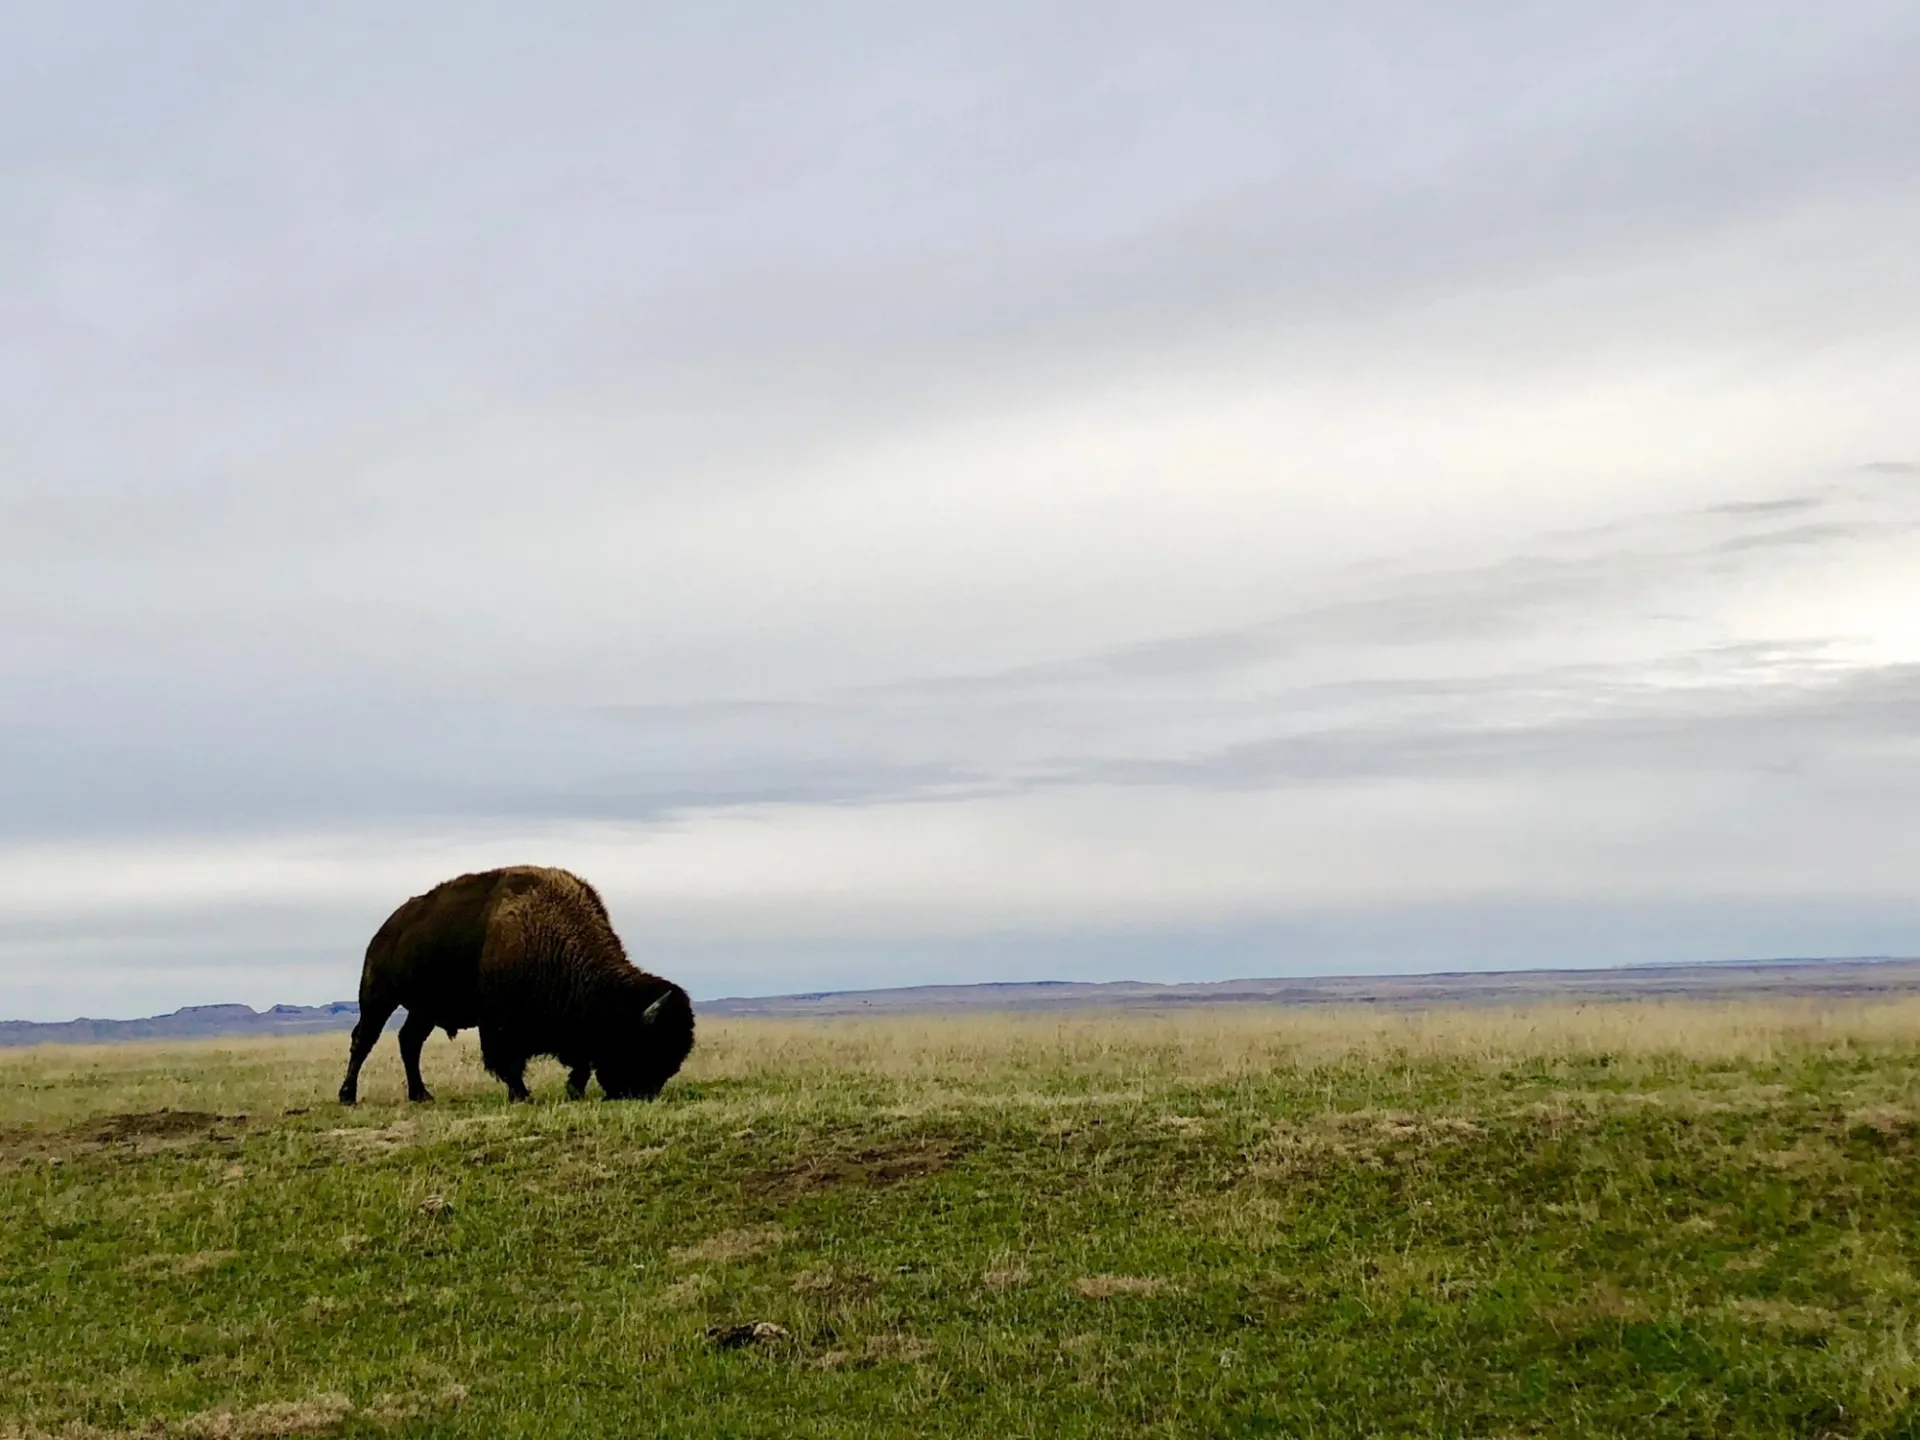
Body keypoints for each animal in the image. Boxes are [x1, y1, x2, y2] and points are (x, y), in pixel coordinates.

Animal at [337, 866, 694, 1104]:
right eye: (645, 1044)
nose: (642, 1094)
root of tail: (386, 929)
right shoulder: (500, 1024)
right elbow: (508, 1060)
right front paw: (522, 1094)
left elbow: (579, 1060)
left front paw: (573, 1089)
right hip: (378, 997)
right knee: (363, 1040)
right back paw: (348, 1095)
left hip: (424, 1010)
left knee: (409, 1041)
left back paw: (421, 1095)